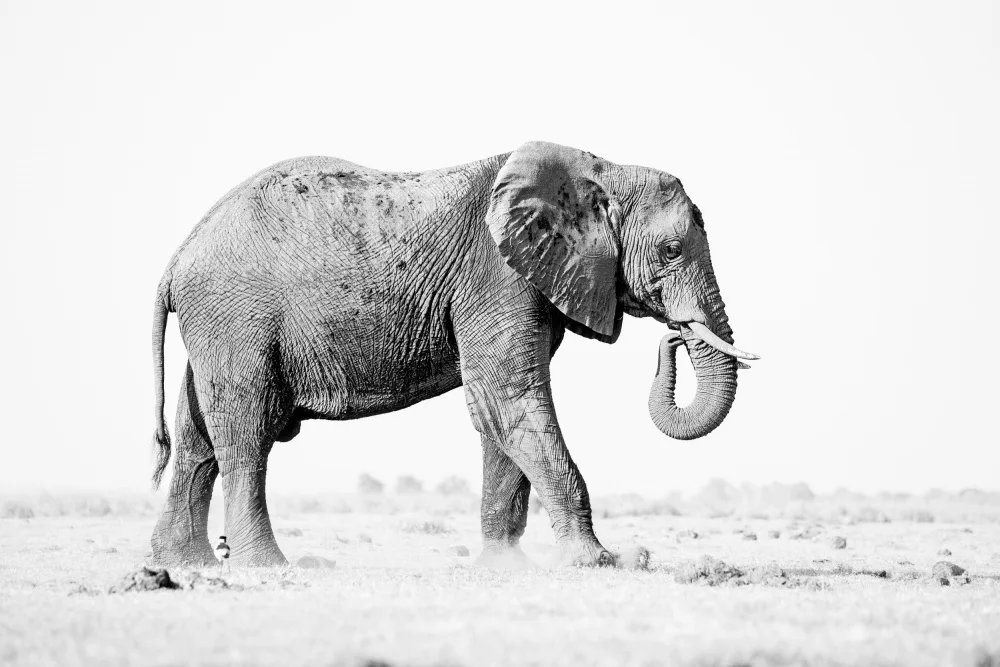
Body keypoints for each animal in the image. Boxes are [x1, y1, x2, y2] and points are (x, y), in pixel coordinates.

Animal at [148, 141, 758, 567]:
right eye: (671, 250)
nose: (675, 335)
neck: (601, 170)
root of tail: (176, 259)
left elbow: (498, 415)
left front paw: (506, 567)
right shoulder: (497, 278)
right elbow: (510, 399)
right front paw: (603, 563)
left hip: (214, 328)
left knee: (197, 440)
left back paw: (188, 565)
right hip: (235, 320)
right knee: (246, 433)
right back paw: (270, 567)